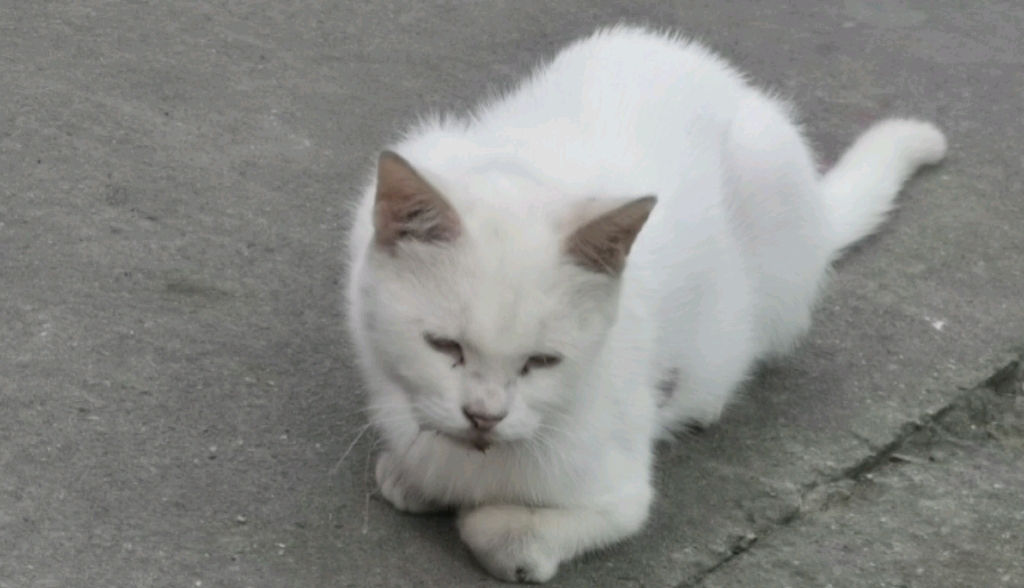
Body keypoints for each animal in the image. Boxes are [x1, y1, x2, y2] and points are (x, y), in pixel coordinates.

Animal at [342, 24, 942, 585]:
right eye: (444, 346)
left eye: (542, 362)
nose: (484, 416)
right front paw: (413, 471)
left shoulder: (620, 489)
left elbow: (508, 528)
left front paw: (494, 523)